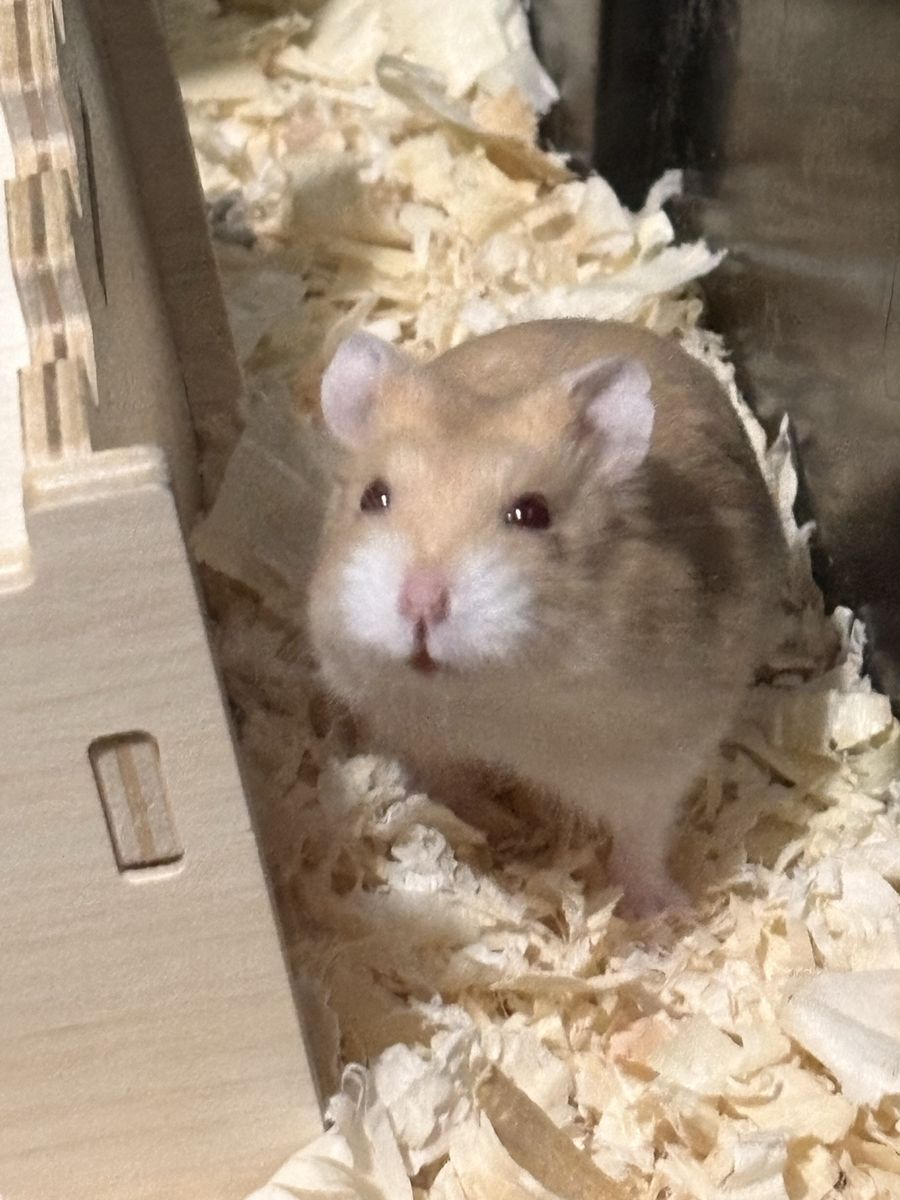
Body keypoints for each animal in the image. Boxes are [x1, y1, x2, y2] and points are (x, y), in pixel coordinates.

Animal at [307, 319, 785, 917]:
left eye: (532, 513)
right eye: (374, 497)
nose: (421, 604)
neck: (493, 694)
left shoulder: (657, 755)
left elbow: (641, 839)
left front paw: (665, 917)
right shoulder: (412, 733)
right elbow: (453, 792)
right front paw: (498, 835)